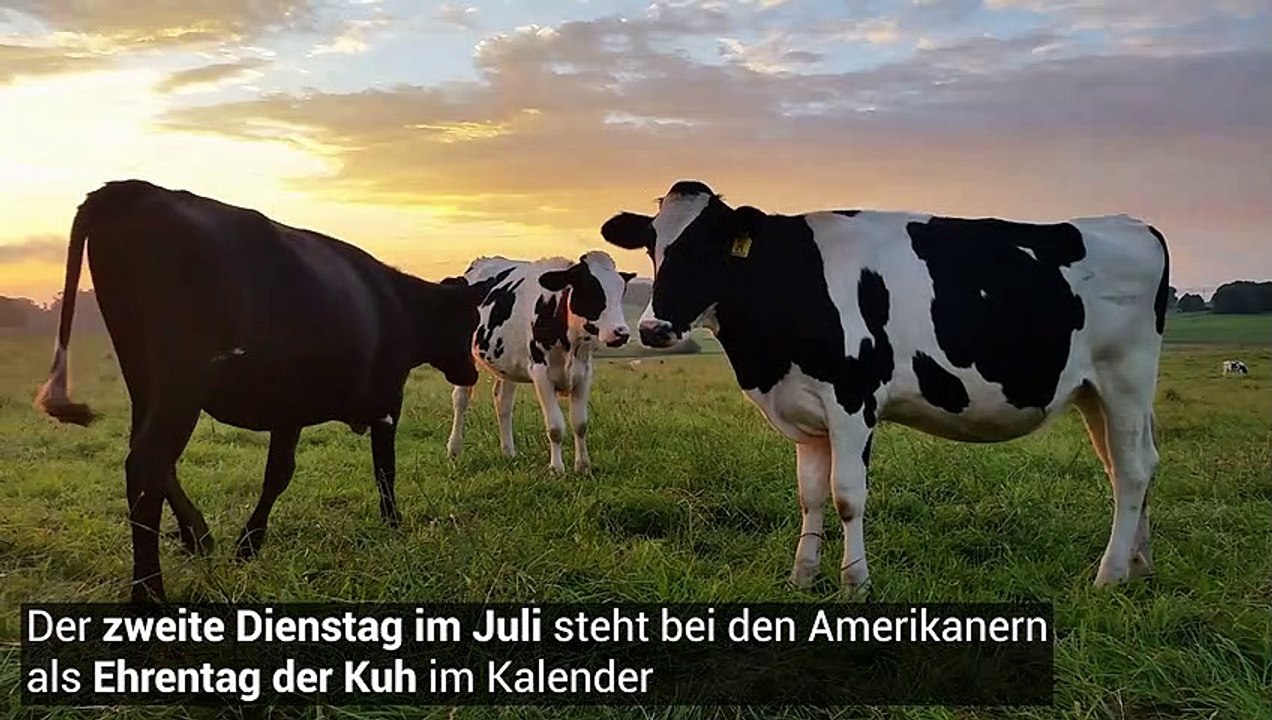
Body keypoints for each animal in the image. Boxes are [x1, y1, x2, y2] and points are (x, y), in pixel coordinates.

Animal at [34, 179, 489, 602]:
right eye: (469, 319)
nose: (472, 373)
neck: (399, 306)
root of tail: (134, 190)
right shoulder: (383, 402)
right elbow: (376, 470)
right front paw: (391, 525)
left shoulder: (291, 409)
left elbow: (283, 473)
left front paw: (243, 544)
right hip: (181, 384)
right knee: (146, 464)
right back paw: (150, 592)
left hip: (144, 380)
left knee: (154, 461)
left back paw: (197, 536)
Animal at [445, 252, 635, 472]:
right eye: (589, 289)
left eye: (621, 291)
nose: (621, 333)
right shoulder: (541, 374)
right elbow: (555, 427)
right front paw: (557, 469)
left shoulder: (584, 373)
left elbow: (580, 424)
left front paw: (583, 466)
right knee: (461, 399)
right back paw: (454, 449)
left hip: (508, 363)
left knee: (503, 402)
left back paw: (508, 452)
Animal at [601, 180, 1170, 592]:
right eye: (653, 246)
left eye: (710, 247)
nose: (653, 329)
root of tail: (1133, 224)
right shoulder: (805, 407)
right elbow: (810, 495)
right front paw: (802, 576)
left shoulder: (853, 399)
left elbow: (847, 495)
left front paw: (855, 583)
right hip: (1093, 391)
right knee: (1129, 465)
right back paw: (1138, 565)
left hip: (1125, 377)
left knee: (1132, 470)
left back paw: (1108, 576)